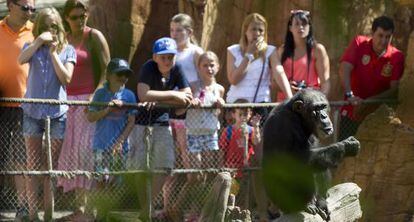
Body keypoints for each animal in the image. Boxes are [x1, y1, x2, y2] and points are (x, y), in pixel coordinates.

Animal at [264, 89, 360, 220]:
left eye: (323, 106)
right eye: (316, 108)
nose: (324, 116)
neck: (299, 118)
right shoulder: (283, 124)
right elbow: (296, 162)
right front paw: (346, 145)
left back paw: (320, 202)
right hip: (285, 203)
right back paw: (306, 205)